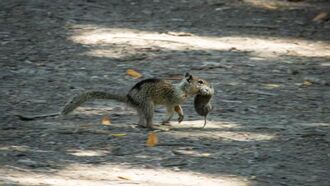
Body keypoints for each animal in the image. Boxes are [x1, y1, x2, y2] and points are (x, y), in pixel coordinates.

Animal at [16, 73, 214, 129]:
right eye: (200, 82)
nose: (210, 86)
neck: (182, 89)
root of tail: (129, 98)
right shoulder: (171, 99)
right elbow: (171, 108)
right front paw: (169, 119)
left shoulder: (176, 101)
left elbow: (178, 108)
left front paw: (180, 117)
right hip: (148, 105)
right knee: (148, 121)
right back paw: (155, 126)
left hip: (142, 108)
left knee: (140, 120)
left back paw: (142, 124)